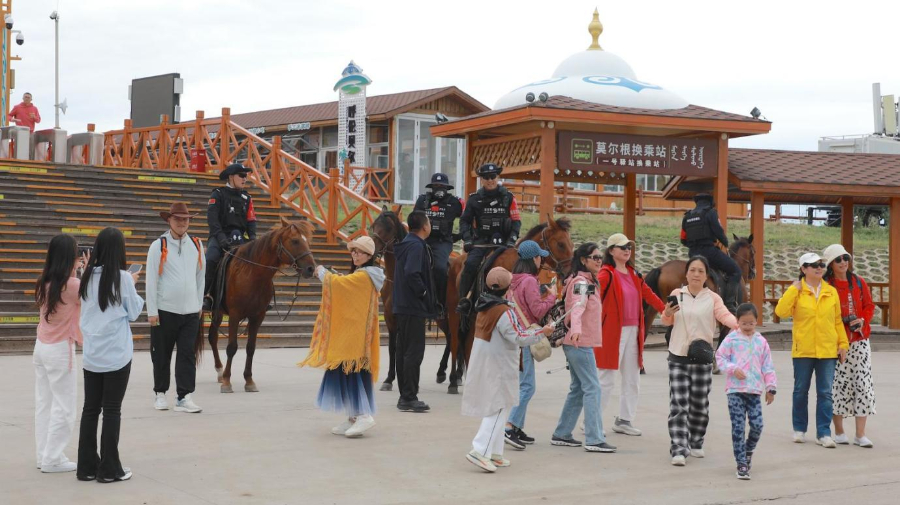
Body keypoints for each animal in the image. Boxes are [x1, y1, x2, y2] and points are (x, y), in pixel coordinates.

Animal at [197, 216, 317, 393]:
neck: (252, 273)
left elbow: (251, 348)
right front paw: (227, 381)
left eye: (307, 241)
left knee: (213, 336)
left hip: (218, 312)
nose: (310, 269)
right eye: (295, 241)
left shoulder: (257, 317)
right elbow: (232, 347)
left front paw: (249, 380)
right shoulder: (234, 315)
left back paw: (219, 370)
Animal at [443, 216, 574, 394]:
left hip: (473, 317)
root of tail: (455, 261)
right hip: (454, 313)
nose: (569, 273)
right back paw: (452, 381)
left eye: (571, 244)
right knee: (455, 342)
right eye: (561, 244)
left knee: (469, 343)